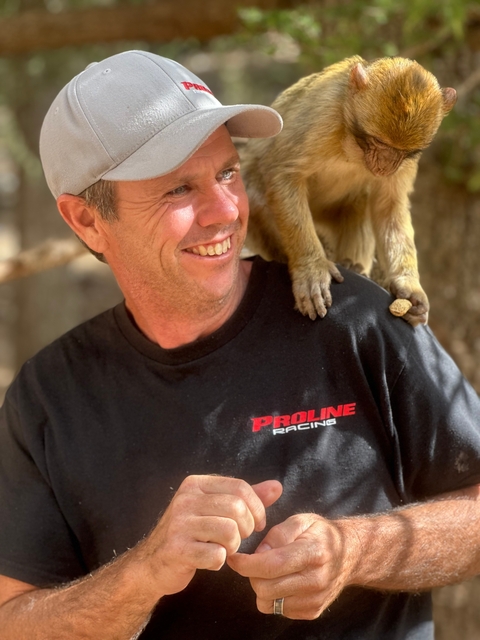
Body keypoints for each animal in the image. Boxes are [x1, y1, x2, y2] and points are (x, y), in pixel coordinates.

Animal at [241, 56, 457, 326]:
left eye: (401, 151)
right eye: (378, 142)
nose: (385, 165)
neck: (354, 144)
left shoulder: (408, 159)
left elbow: (390, 205)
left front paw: (410, 287)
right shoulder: (323, 113)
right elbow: (284, 174)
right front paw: (311, 269)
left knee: (362, 202)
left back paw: (354, 265)